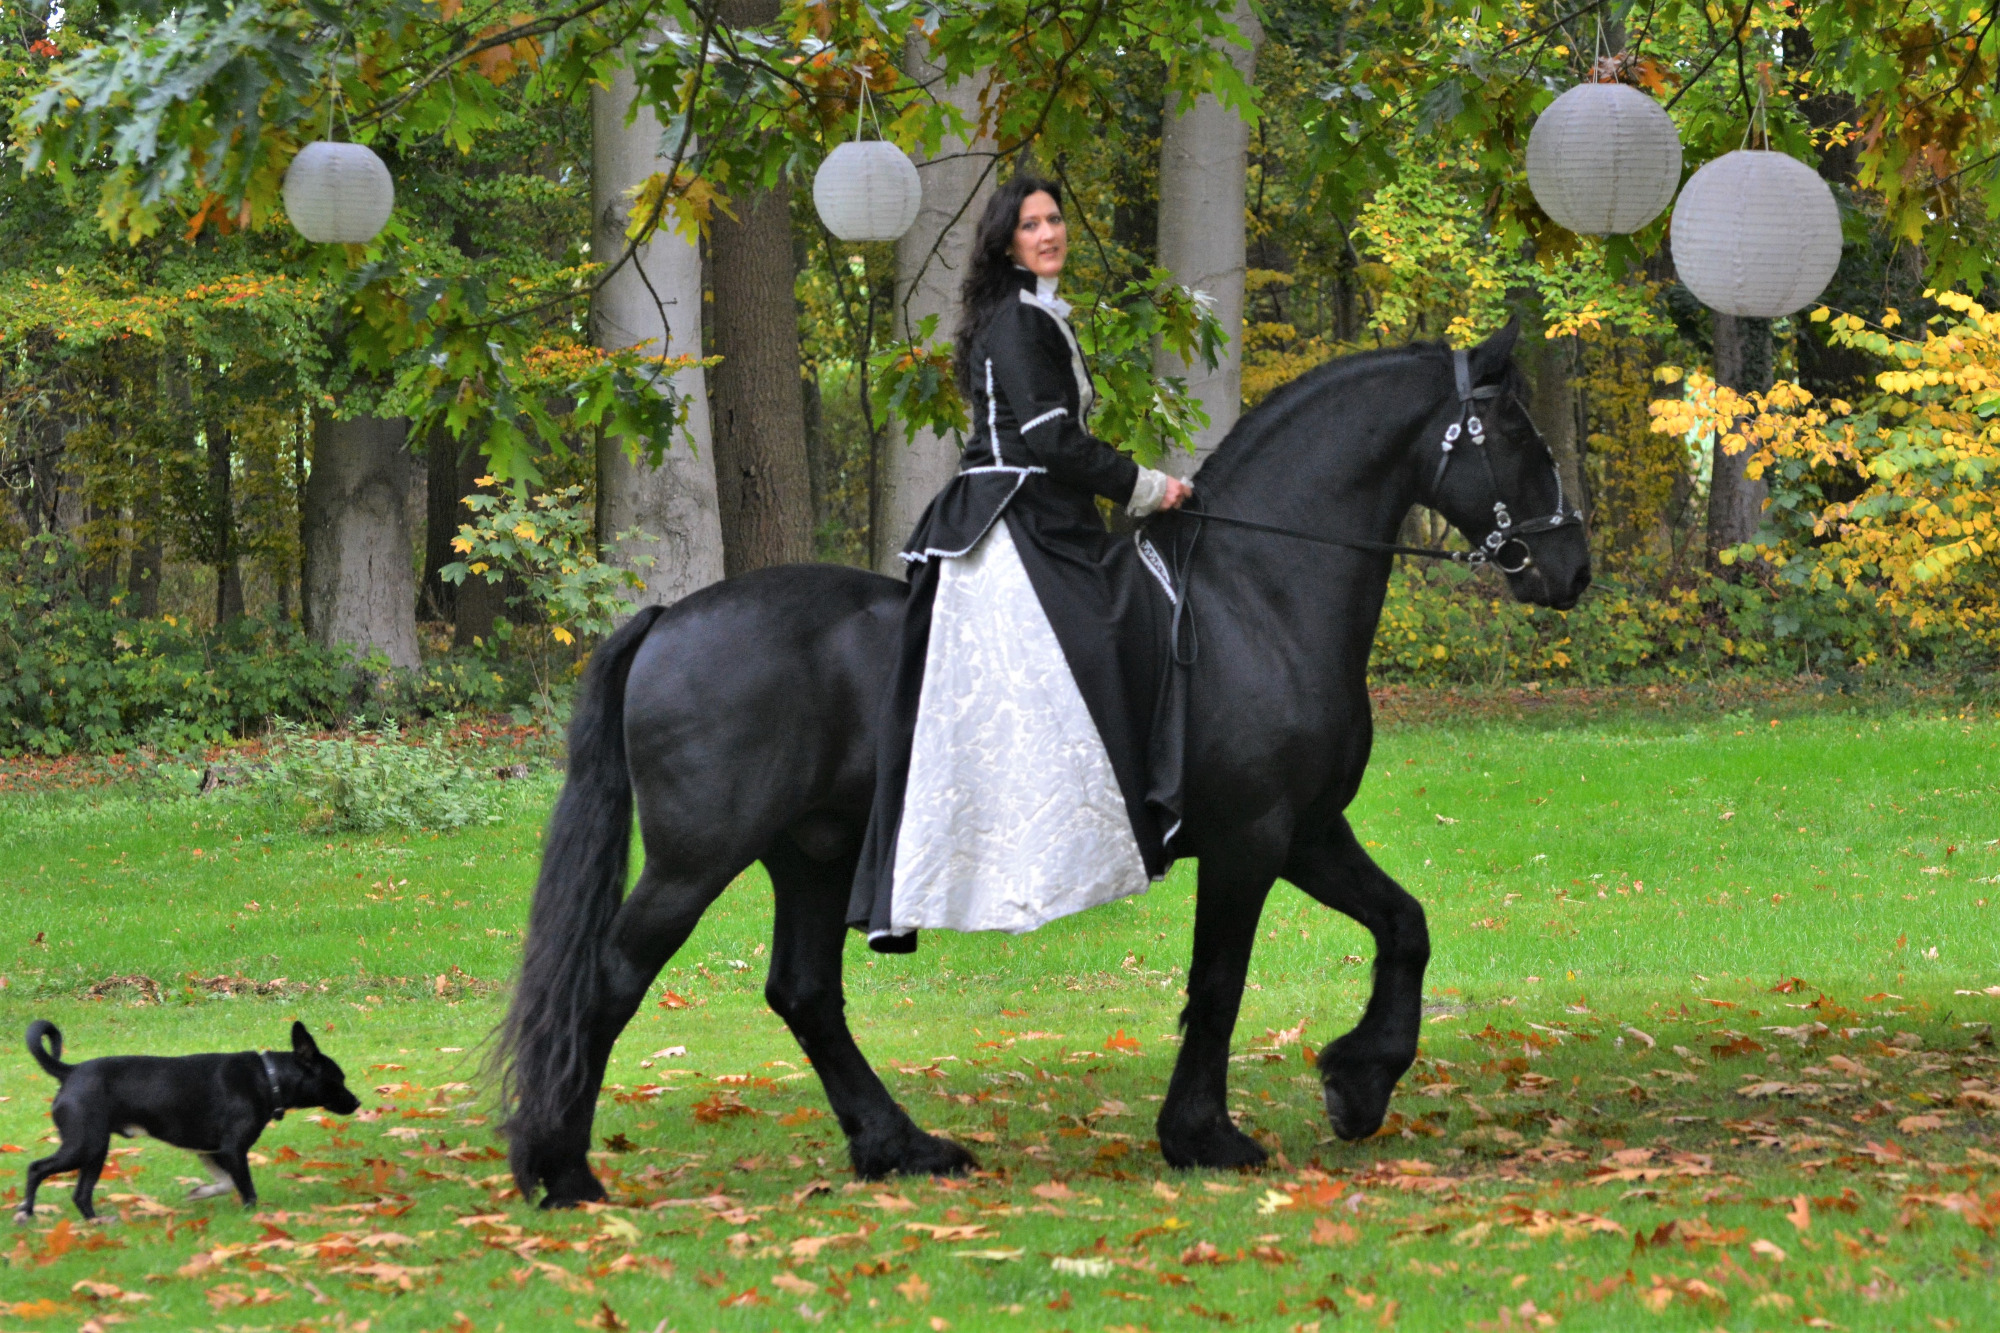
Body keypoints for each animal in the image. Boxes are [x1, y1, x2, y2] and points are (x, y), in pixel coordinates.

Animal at [17, 1012, 364, 1216]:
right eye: (337, 1080)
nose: (357, 1103)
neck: (271, 1078)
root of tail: (69, 1071)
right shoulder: (233, 1150)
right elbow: (245, 1188)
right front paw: (252, 1214)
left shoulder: (209, 1151)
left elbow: (224, 1183)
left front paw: (200, 1193)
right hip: (84, 1145)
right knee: (36, 1169)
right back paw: (26, 1212)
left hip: (95, 1150)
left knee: (81, 1194)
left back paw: (96, 1223)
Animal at [500, 324, 1592, 1200]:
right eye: (1513, 435)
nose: (1571, 567)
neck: (1256, 591)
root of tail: (667, 620)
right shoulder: (1253, 838)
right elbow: (1219, 981)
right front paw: (1205, 1134)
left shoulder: (1309, 829)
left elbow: (1404, 924)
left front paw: (1358, 1082)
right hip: (697, 858)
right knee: (610, 980)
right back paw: (564, 1171)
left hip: (810, 852)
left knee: (804, 993)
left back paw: (901, 1146)